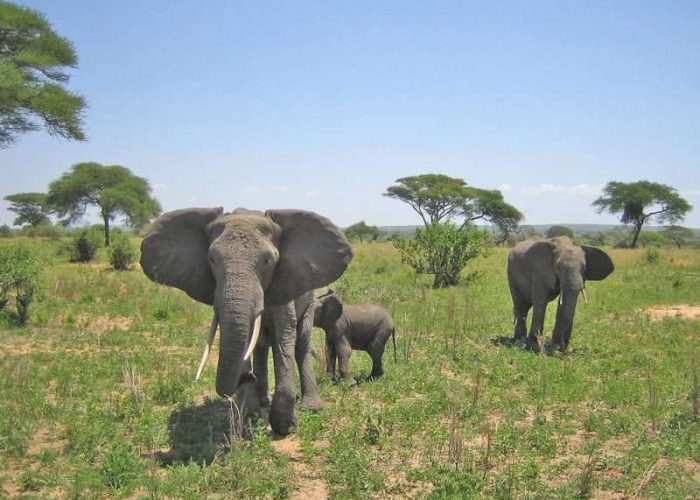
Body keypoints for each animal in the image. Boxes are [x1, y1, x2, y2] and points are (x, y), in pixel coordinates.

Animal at [139, 207, 352, 434]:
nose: (247, 376)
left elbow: (284, 337)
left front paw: (285, 426)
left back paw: (311, 408)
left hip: (309, 299)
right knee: (260, 347)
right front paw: (250, 415)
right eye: (211, 260)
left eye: (268, 261)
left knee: (300, 344)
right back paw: (262, 402)